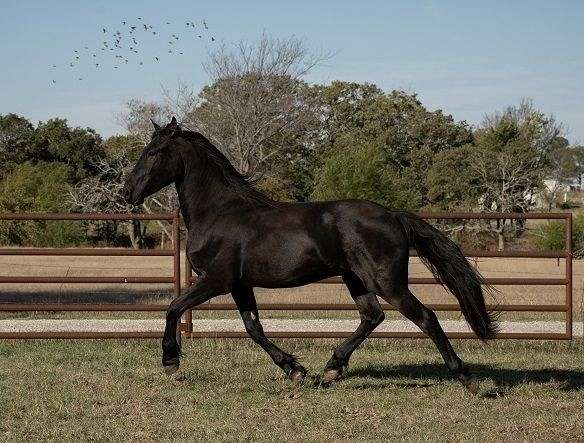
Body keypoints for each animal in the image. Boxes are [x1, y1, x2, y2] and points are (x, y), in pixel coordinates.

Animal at [121, 118, 496, 396]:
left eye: (154, 151)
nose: (128, 192)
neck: (219, 213)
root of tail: (393, 215)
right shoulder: (240, 285)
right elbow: (253, 328)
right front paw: (295, 370)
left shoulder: (216, 280)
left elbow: (173, 308)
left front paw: (171, 365)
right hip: (356, 279)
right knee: (372, 317)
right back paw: (330, 370)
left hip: (386, 281)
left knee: (426, 318)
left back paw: (470, 382)